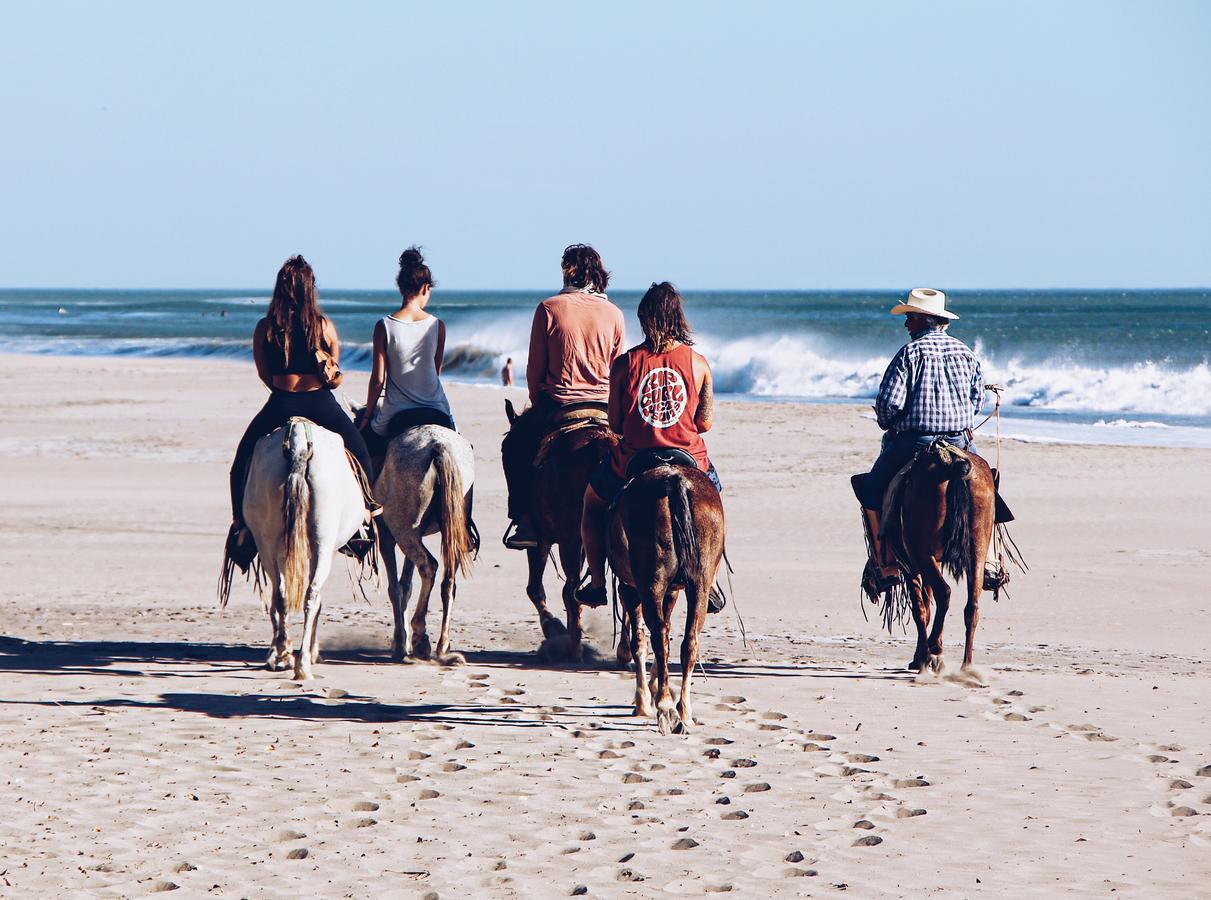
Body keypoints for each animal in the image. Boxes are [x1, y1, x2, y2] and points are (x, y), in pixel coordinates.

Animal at [238, 419, 360, 678]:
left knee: (281, 595)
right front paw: (311, 651)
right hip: (323, 541)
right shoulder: (328, 550)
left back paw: (285, 654)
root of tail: (298, 441)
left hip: (267, 542)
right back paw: (302, 662)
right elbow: (319, 598)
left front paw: (279, 653)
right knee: (310, 594)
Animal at [375, 426, 474, 663]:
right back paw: (442, 645)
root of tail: (438, 446)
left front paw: (400, 643)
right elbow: (406, 585)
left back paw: (420, 637)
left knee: (429, 566)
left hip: (403, 529)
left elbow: (395, 588)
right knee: (448, 580)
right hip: (451, 530)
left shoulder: (386, 535)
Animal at [503, 402, 620, 663]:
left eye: (506, 450)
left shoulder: (541, 540)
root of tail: (601, 440)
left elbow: (534, 589)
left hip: (570, 541)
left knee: (570, 591)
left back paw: (574, 651)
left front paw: (553, 627)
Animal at [610, 460, 721, 736]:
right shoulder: (672, 591)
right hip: (699, 585)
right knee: (688, 642)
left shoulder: (630, 589)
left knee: (658, 635)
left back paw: (664, 707)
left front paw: (642, 700)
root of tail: (673, 479)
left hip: (651, 582)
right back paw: (684, 710)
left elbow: (640, 641)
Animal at [896, 448, 997, 673]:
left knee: (944, 592)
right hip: (977, 548)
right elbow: (926, 602)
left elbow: (920, 608)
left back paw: (933, 651)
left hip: (921, 552)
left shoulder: (910, 562)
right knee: (972, 605)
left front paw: (922, 657)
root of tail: (956, 465)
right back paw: (966, 665)